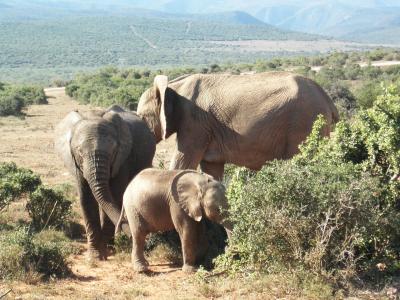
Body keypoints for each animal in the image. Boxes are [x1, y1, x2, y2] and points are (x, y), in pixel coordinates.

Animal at [55, 105, 155, 260]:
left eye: (113, 151)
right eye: (79, 152)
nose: (150, 245)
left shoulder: (122, 159)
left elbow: (115, 194)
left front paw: (108, 250)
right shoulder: (75, 162)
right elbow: (86, 199)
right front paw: (95, 255)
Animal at [137, 71, 338, 179]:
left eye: (143, 117)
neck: (173, 86)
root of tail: (326, 97)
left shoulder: (194, 123)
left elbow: (182, 163)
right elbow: (211, 170)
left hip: (305, 121)